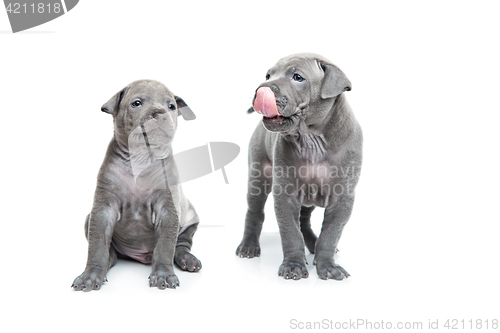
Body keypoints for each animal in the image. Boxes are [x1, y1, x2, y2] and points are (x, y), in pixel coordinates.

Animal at [72, 78, 201, 290]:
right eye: (137, 103)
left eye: (171, 106)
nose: (160, 113)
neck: (141, 159)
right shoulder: (103, 210)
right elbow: (97, 245)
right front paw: (91, 275)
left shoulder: (168, 211)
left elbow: (165, 246)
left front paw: (163, 274)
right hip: (89, 219)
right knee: (110, 252)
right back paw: (108, 260)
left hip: (190, 219)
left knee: (180, 245)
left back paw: (187, 260)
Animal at [236, 53, 362, 280]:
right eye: (268, 75)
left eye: (297, 77)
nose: (261, 90)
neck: (312, 140)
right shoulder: (285, 195)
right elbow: (290, 232)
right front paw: (293, 265)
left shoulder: (342, 199)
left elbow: (331, 234)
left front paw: (328, 266)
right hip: (258, 178)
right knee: (255, 212)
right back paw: (248, 246)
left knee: (304, 220)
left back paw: (313, 244)